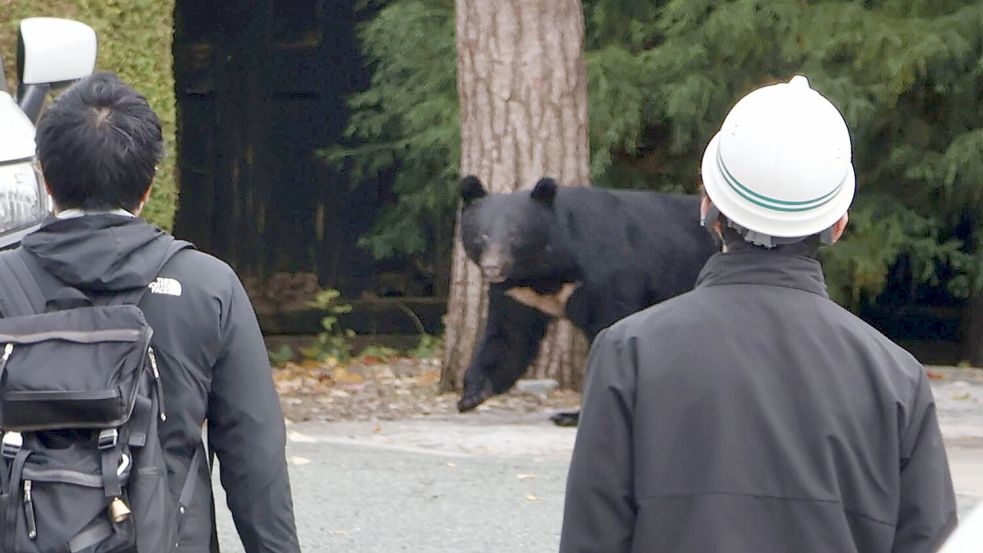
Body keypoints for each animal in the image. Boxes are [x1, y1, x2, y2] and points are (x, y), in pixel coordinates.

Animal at [455, 175, 719, 425]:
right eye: (482, 235)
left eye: (515, 236)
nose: (492, 267)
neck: (545, 271)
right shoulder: (518, 294)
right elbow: (509, 337)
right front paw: (473, 394)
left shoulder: (603, 275)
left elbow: (609, 326)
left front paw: (573, 415)